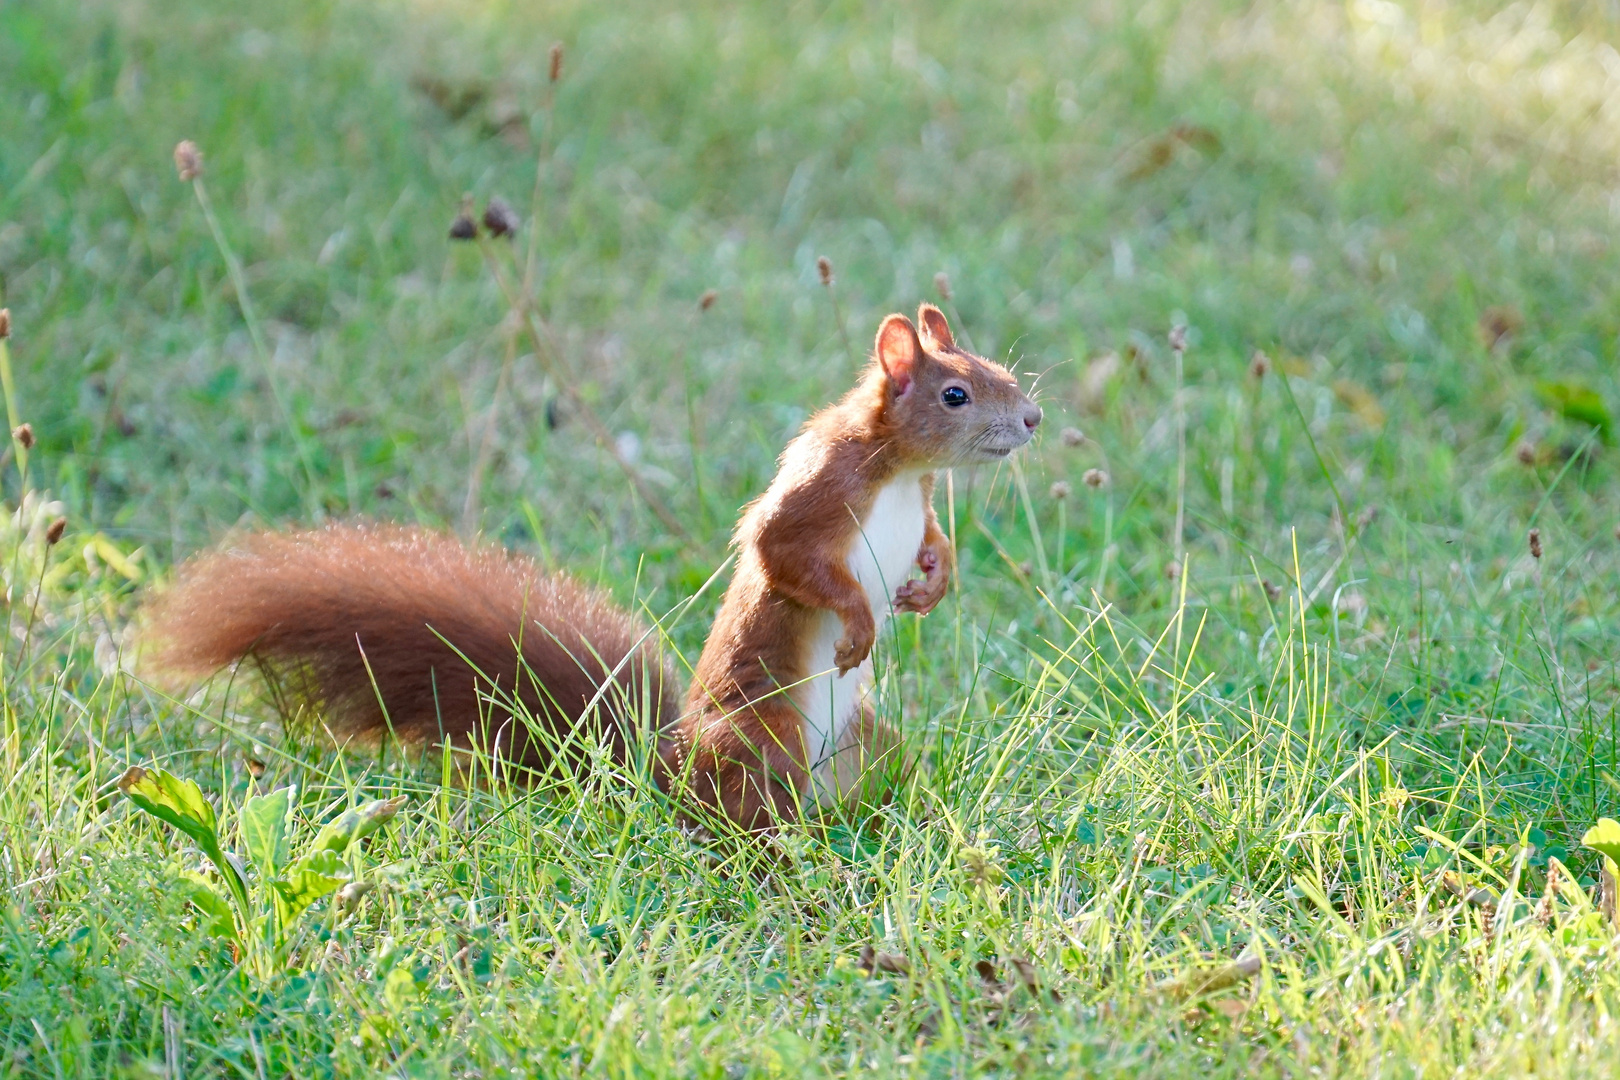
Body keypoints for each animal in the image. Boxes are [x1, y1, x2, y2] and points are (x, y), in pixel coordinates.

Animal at [145, 304, 1043, 829]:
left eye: (1002, 372)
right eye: (957, 394)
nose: (1033, 418)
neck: (896, 472)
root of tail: (666, 771)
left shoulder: (918, 503)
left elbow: (934, 538)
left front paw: (933, 580)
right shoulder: (819, 490)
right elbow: (784, 554)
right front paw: (859, 621)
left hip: (868, 739)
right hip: (764, 739)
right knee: (746, 819)